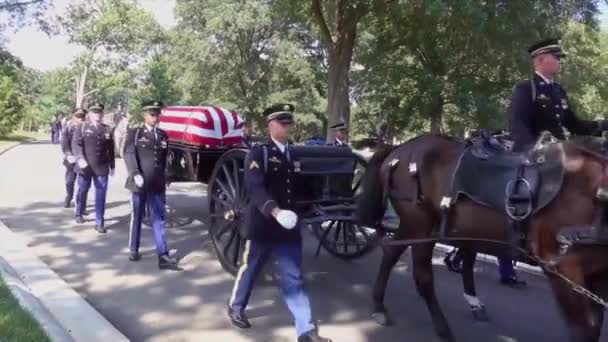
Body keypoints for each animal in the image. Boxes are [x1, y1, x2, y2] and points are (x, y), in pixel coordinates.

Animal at [358, 134, 608, 342]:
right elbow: (584, 331)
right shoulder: (562, 270)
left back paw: (379, 305)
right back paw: (441, 328)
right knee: (423, 277)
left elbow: (594, 327)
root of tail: (399, 149)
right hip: (419, 225)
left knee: (391, 251)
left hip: (417, 228)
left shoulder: (596, 275)